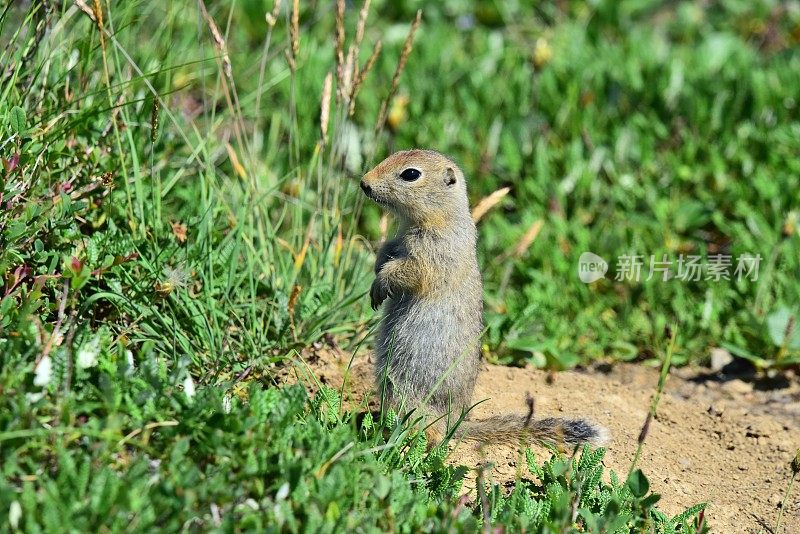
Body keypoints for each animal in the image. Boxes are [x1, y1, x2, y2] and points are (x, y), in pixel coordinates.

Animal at [360, 151, 608, 448]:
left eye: (411, 174)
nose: (364, 183)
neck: (439, 217)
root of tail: (453, 425)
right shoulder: (397, 240)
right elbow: (386, 250)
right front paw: (375, 278)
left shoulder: (435, 250)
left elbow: (412, 270)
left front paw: (381, 284)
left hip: (404, 392)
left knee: (428, 434)